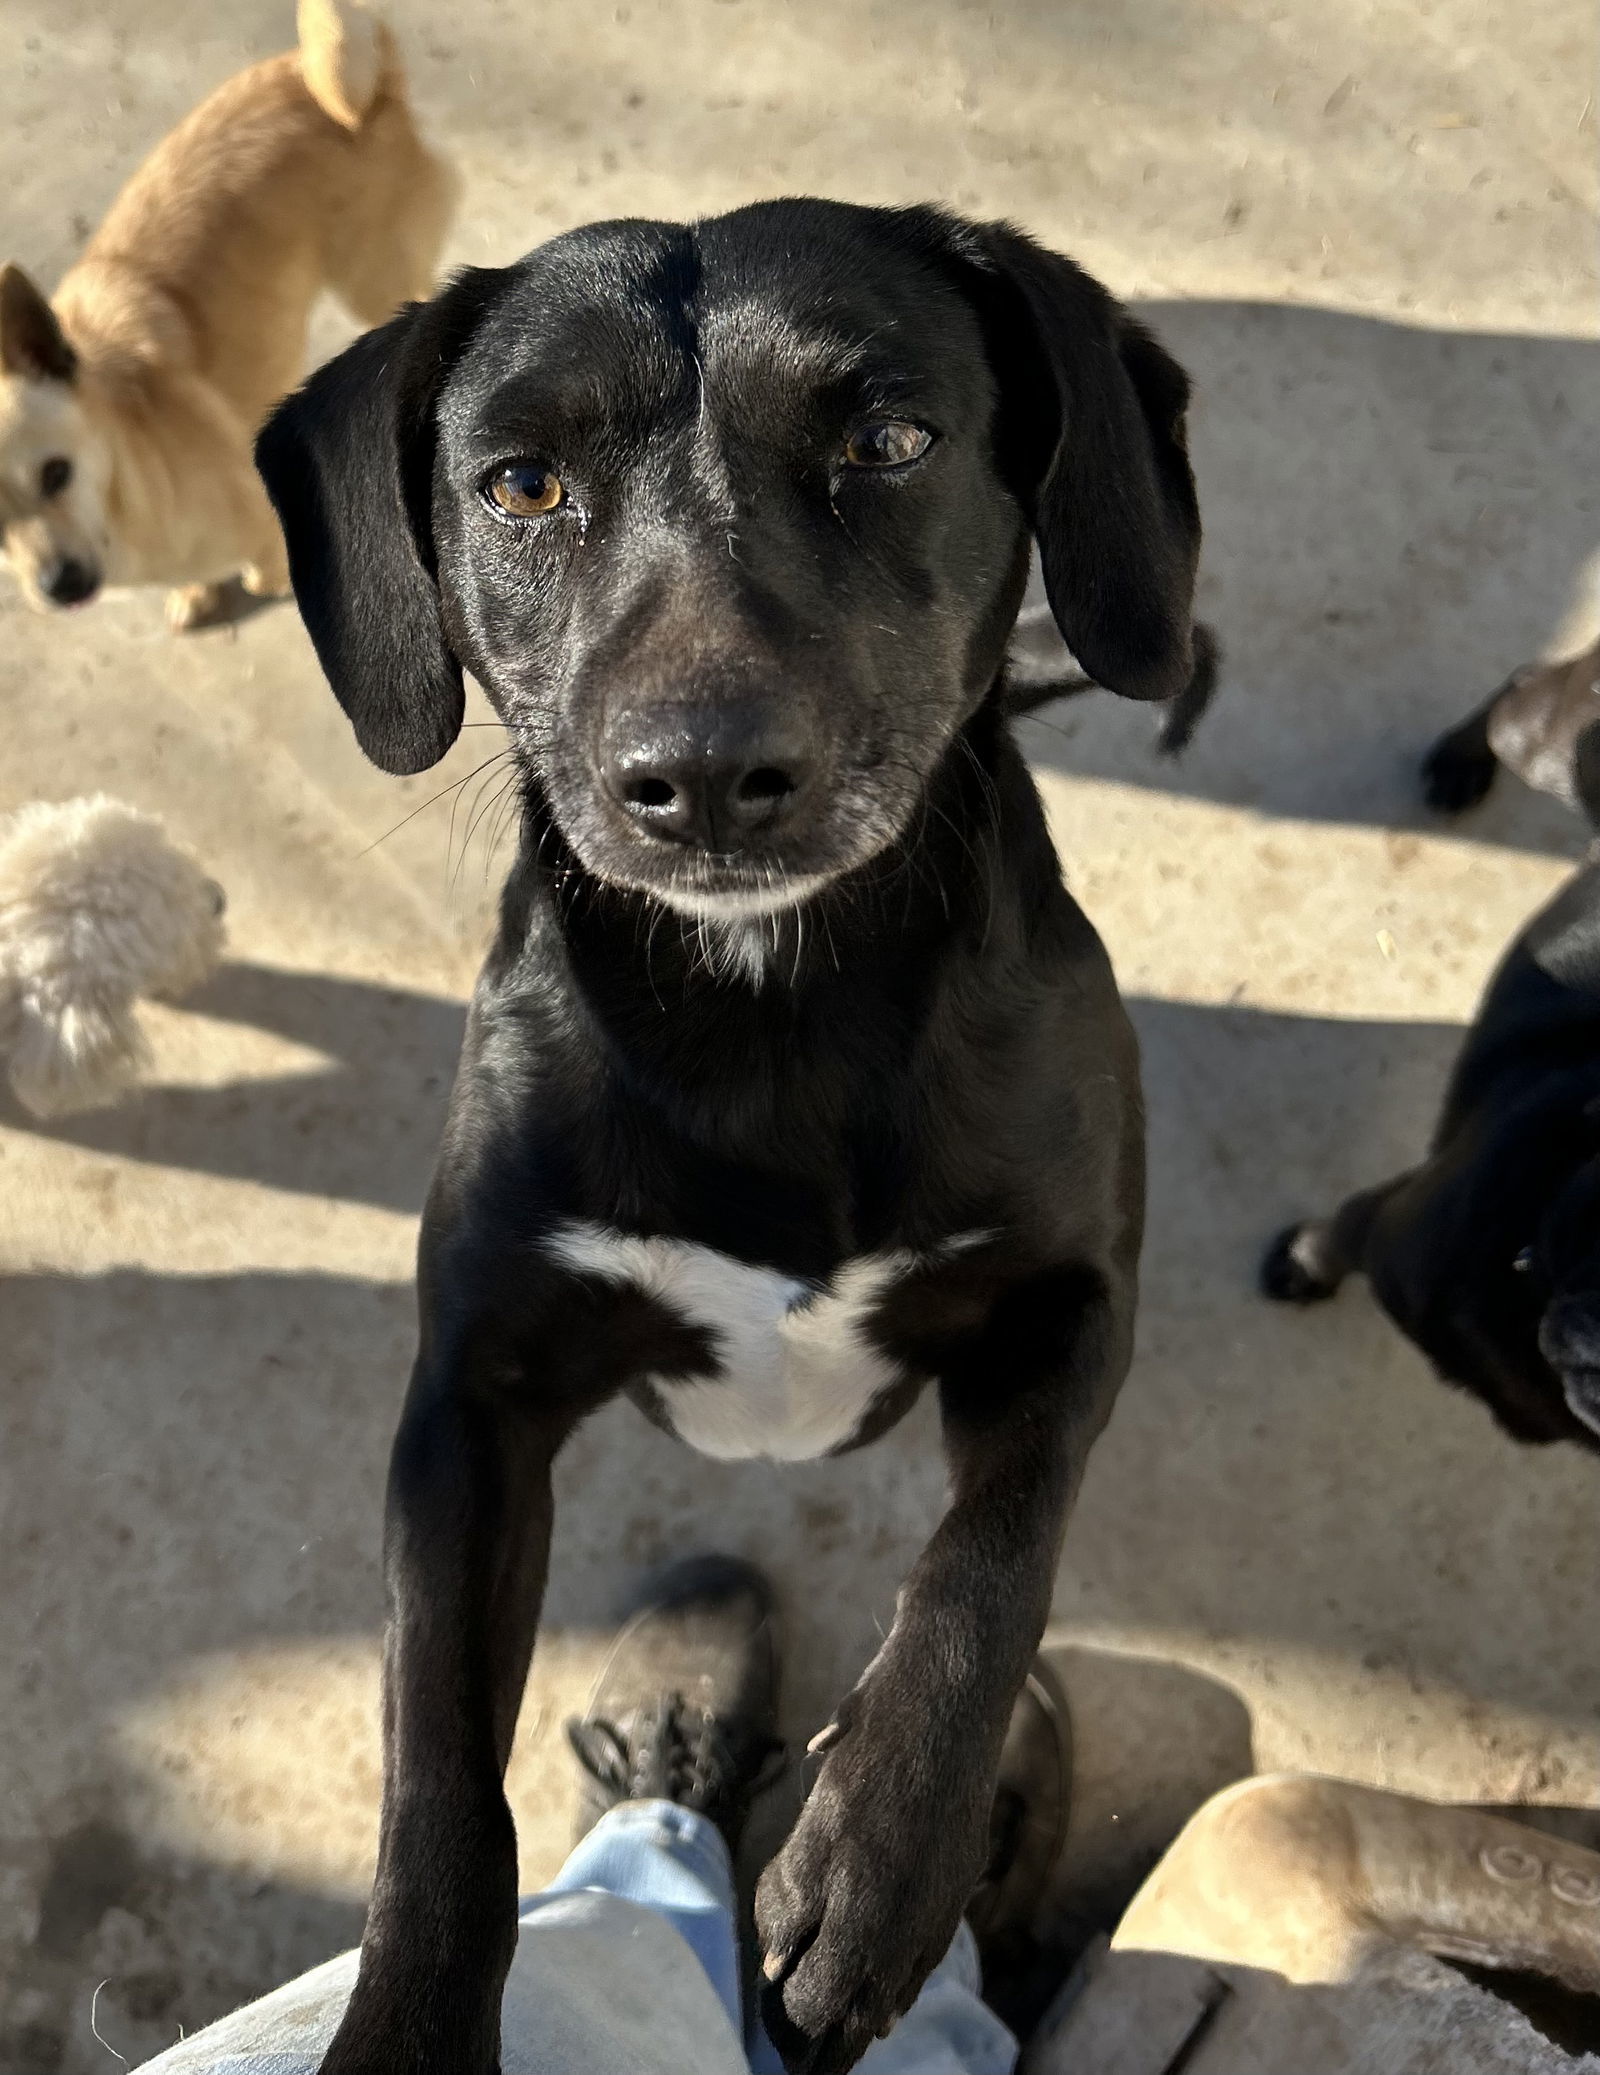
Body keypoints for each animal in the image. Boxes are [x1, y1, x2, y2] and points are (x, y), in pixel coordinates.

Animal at [0, 2, 456, 630]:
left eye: (56, 474)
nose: (59, 585)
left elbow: (266, 557)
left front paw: (264, 578)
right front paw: (197, 592)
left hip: (372, 281)